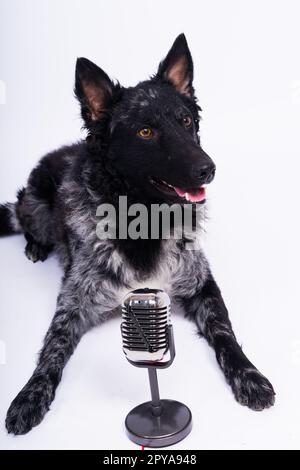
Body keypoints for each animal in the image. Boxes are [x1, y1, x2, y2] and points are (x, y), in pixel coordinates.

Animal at [0, 35, 276, 436]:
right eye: (145, 132)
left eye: (186, 121)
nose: (207, 169)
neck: (144, 219)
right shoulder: (73, 301)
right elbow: (53, 346)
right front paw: (29, 394)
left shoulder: (201, 283)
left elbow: (225, 332)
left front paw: (249, 375)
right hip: (34, 205)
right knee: (25, 218)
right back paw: (35, 246)